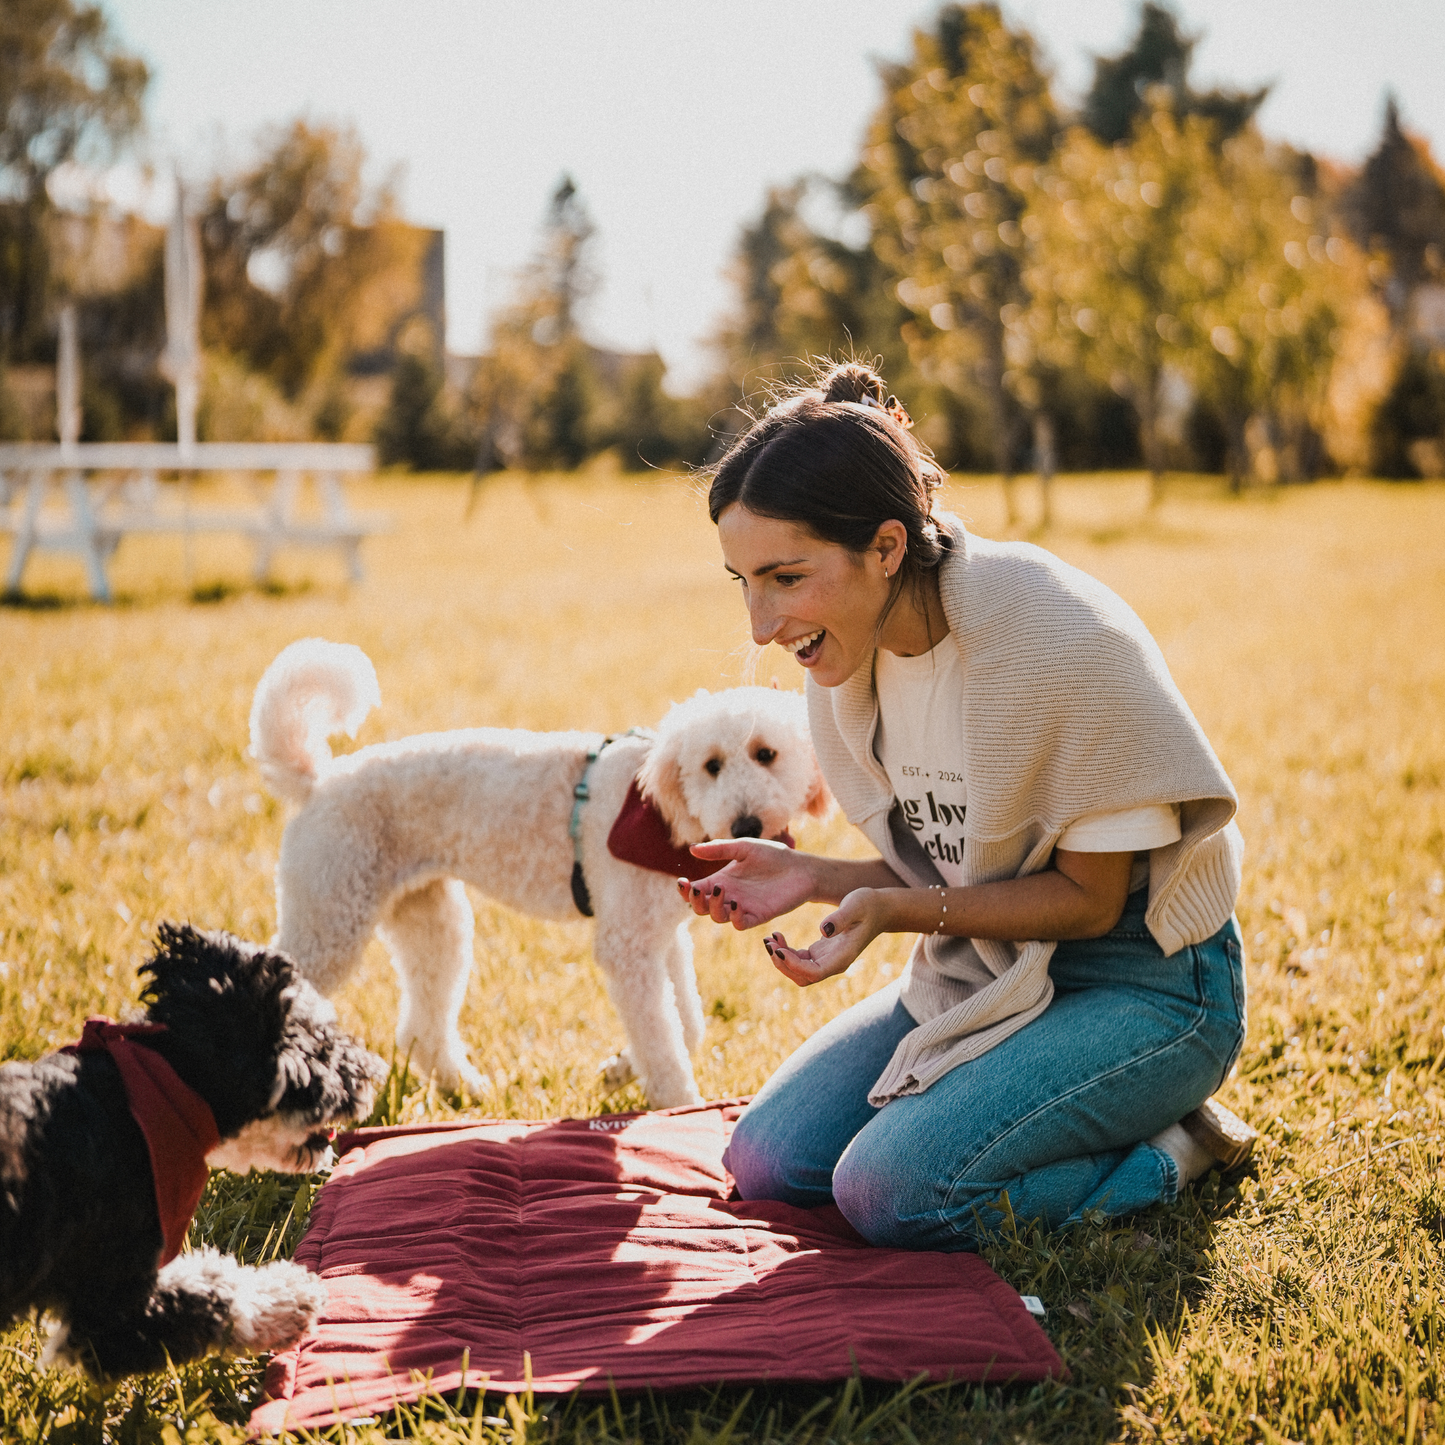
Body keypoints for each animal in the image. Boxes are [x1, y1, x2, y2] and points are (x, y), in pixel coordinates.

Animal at [254, 635, 832, 1103]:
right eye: (712, 766)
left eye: (766, 754)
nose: (747, 822)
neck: (663, 812)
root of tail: (317, 781)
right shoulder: (628, 946)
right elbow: (664, 1038)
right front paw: (680, 1105)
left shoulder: (660, 935)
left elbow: (686, 1025)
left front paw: (620, 1071)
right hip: (330, 917)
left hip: (431, 922)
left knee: (420, 1028)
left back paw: (467, 1089)